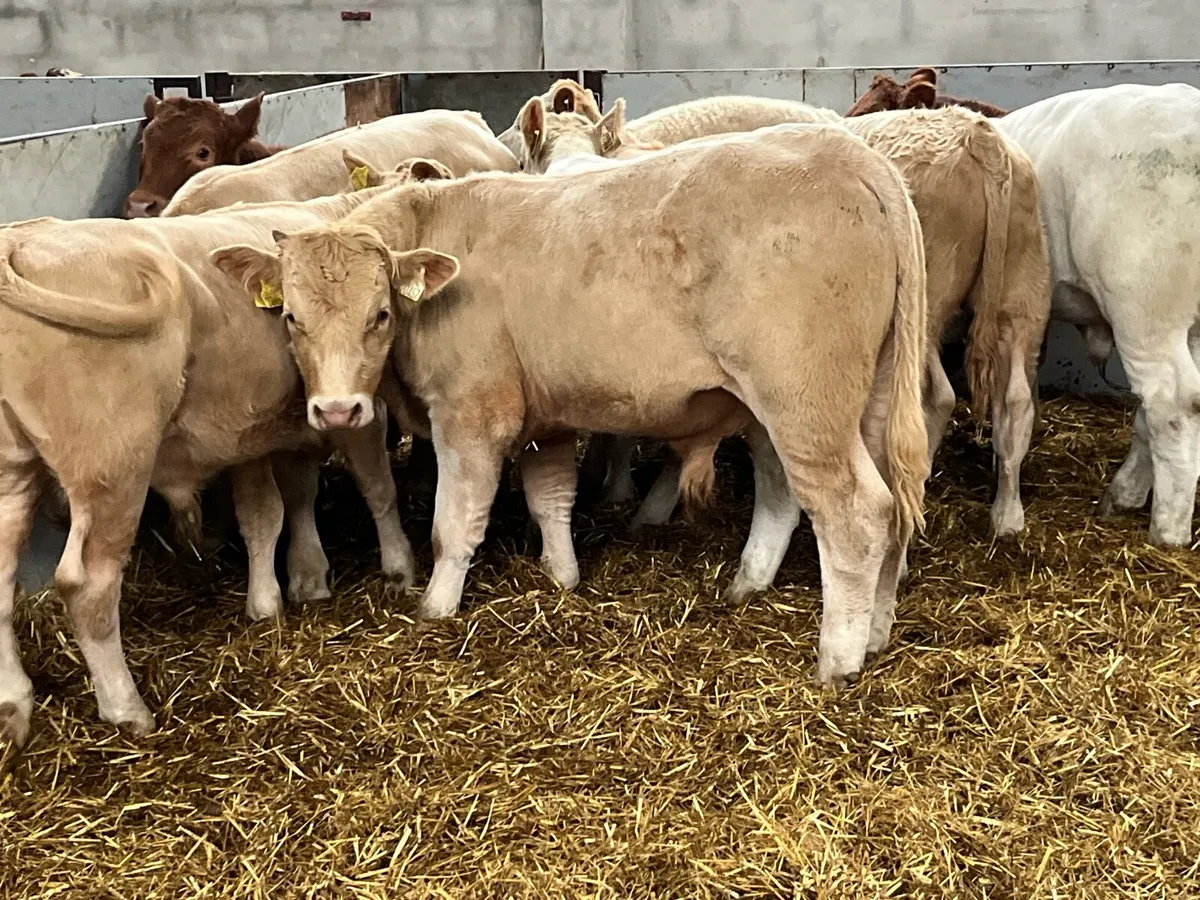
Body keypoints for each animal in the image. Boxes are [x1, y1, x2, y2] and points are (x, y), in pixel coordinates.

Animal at [0, 183, 447, 748]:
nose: (335, 409)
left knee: (1, 575)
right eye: (292, 318)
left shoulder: (255, 435)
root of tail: (21, 239)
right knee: (89, 586)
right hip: (113, 469)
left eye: (380, 314)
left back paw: (12, 705)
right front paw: (399, 568)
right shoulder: (359, 411)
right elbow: (377, 486)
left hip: (11, 470)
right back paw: (127, 710)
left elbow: (273, 511)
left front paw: (289, 590)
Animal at [210, 123, 931, 690]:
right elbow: (549, 498)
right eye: (293, 319)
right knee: (846, 501)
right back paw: (847, 622)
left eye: (379, 315)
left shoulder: (472, 414)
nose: (336, 412)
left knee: (856, 514)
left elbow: (453, 524)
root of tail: (850, 153)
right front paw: (561, 579)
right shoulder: (547, 417)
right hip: (852, 399)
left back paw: (837, 659)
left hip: (804, 401)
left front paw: (437, 611)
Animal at [519, 94, 1051, 548]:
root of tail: (978, 135)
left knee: (932, 399)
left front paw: (616, 488)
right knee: (1014, 401)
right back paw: (1006, 516)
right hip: (1021, 292)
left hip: (923, 303)